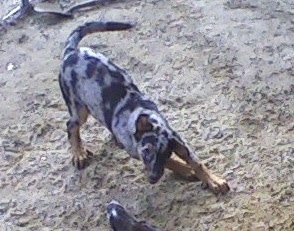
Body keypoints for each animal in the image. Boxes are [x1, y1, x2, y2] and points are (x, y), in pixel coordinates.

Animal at [58, 20, 230, 194]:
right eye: (147, 150)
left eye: (166, 153)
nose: (153, 178)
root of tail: (71, 52)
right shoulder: (135, 150)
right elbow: (174, 163)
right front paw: (186, 170)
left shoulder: (179, 142)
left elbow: (196, 162)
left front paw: (213, 180)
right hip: (78, 108)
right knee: (71, 126)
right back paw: (78, 153)